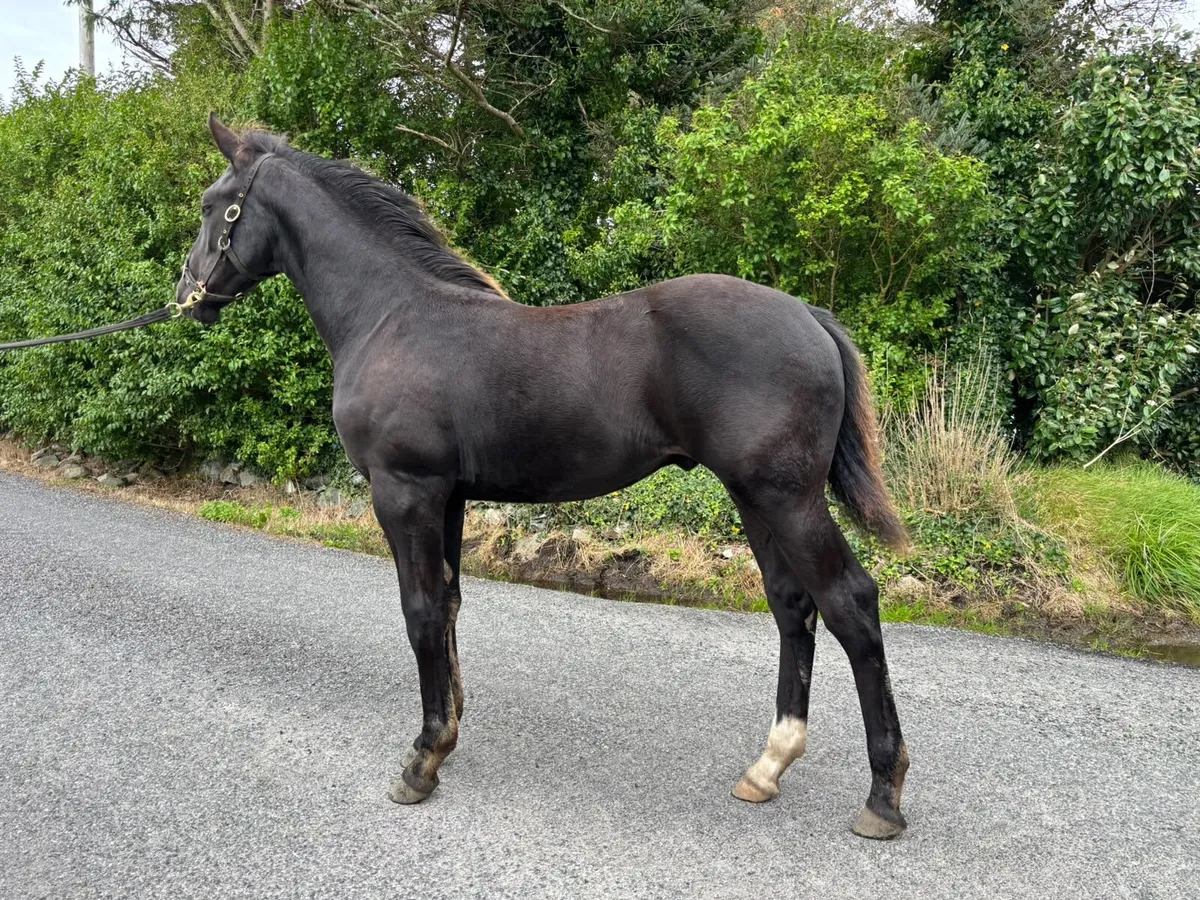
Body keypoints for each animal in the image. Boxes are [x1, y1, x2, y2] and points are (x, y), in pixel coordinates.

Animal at [178, 114, 912, 840]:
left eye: (216, 205)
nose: (188, 297)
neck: (391, 318)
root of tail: (807, 315)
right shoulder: (448, 499)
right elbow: (448, 604)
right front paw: (446, 735)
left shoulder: (405, 493)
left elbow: (419, 611)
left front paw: (421, 761)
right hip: (753, 496)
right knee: (792, 606)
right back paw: (768, 766)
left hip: (788, 499)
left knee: (850, 602)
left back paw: (883, 795)